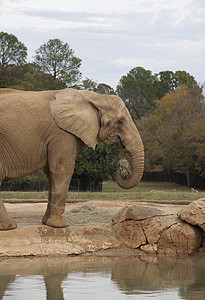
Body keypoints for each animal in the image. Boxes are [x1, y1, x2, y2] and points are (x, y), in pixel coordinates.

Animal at [0, 87, 144, 230]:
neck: (94, 97)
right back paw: (10, 226)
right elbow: (62, 169)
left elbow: (51, 172)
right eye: (120, 121)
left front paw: (46, 222)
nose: (121, 165)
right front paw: (59, 225)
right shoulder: (63, 133)